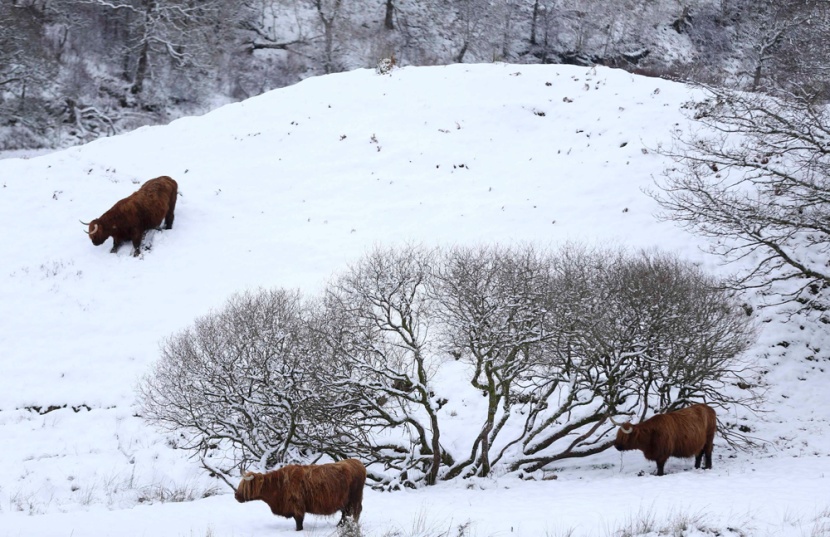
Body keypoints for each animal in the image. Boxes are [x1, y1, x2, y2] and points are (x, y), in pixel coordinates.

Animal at [234, 458, 364, 528]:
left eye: (244, 486)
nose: (236, 495)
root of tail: (357, 462)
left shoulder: (297, 506)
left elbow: (299, 522)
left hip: (355, 498)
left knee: (355, 512)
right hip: (345, 501)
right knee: (346, 514)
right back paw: (339, 526)